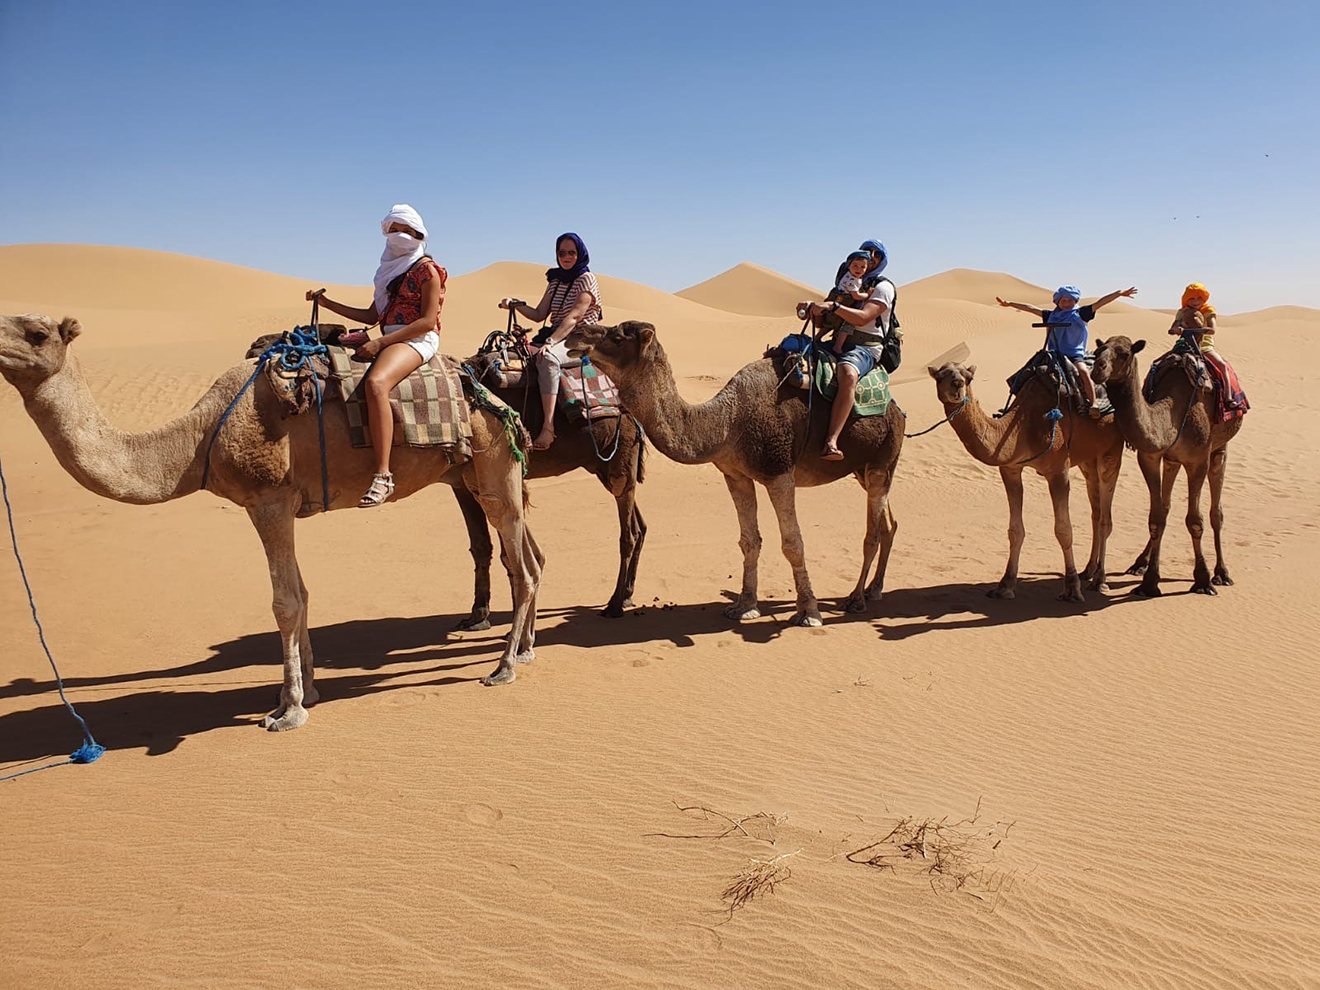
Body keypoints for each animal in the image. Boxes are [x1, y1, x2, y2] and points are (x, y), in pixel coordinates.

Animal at [1, 314, 541, 733]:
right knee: (528, 561)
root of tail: (487, 387)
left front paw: (289, 710)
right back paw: (523, 652)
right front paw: (307, 691)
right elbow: (301, 592)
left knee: (523, 568)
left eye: (36, 333)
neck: (199, 439)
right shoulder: (278, 506)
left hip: (494, 466)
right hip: (471, 473)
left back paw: (504, 666)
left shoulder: (268, 500)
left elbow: (285, 601)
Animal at [562, 322, 902, 623]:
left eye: (618, 336)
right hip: (862, 468)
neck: (729, 422)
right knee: (888, 524)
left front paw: (808, 611)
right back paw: (874, 590)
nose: (575, 333)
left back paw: (856, 599)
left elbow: (792, 543)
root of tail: (897, 410)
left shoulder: (779, 472)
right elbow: (749, 541)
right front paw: (745, 606)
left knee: (872, 532)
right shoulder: (736, 474)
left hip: (883, 459)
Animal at [929, 361, 1124, 601]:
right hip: (1089, 458)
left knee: (1106, 518)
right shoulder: (1010, 469)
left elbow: (1064, 530)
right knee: (1096, 513)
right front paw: (1005, 585)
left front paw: (1071, 588)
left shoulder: (1058, 470)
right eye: (940, 377)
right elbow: (1015, 530)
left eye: (968, 377)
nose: (957, 385)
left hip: (1112, 448)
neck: (1024, 426)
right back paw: (1088, 570)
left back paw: (1100, 580)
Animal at [1087, 337, 1240, 596]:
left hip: (1220, 448)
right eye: (1099, 351)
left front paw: (1203, 580)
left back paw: (1222, 574)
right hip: (1172, 460)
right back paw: (1139, 563)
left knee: (1216, 512)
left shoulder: (1198, 460)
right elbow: (1156, 518)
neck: (1172, 414)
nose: (1098, 369)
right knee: (1166, 507)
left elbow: (1195, 521)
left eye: (1125, 353)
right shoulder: (1150, 457)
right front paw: (1149, 583)